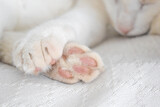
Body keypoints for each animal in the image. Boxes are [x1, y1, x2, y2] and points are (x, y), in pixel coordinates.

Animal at [0, 0, 159, 83]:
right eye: (115, 0)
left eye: (146, 3)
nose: (123, 28)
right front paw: (38, 40)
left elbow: (77, 20)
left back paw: (68, 62)